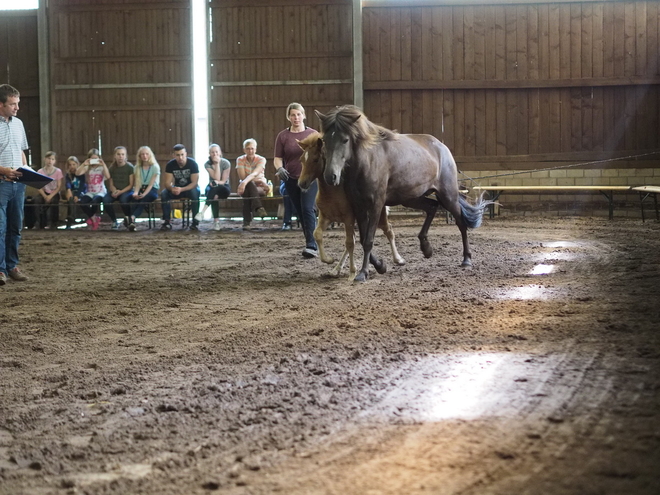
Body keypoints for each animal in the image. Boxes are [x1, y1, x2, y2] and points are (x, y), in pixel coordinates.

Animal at [296, 132, 404, 280]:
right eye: (301, 159)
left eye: (316, 159)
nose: (302, 183)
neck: (332, 193)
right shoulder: (325, 217)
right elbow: (317, 234)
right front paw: (329, 260)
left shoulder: (348, 219)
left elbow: (350, 243)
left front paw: (353, 272)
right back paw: (336, 269)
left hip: (379, 217)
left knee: (389, 231)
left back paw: (398, 259)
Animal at [314, 104, 490, 282]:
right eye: (325, 140)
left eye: (345, 140)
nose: (330, 176)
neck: (368, 161)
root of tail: (442, 148)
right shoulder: (358, 206)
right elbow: (363, 238)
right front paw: (380, 266)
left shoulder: (376, 204)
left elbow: (369, 239)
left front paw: (363, 273)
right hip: (411, 198)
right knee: (432, 207)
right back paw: (426, 248)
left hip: (448, 196)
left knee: (460, 222)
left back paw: (466, 259)